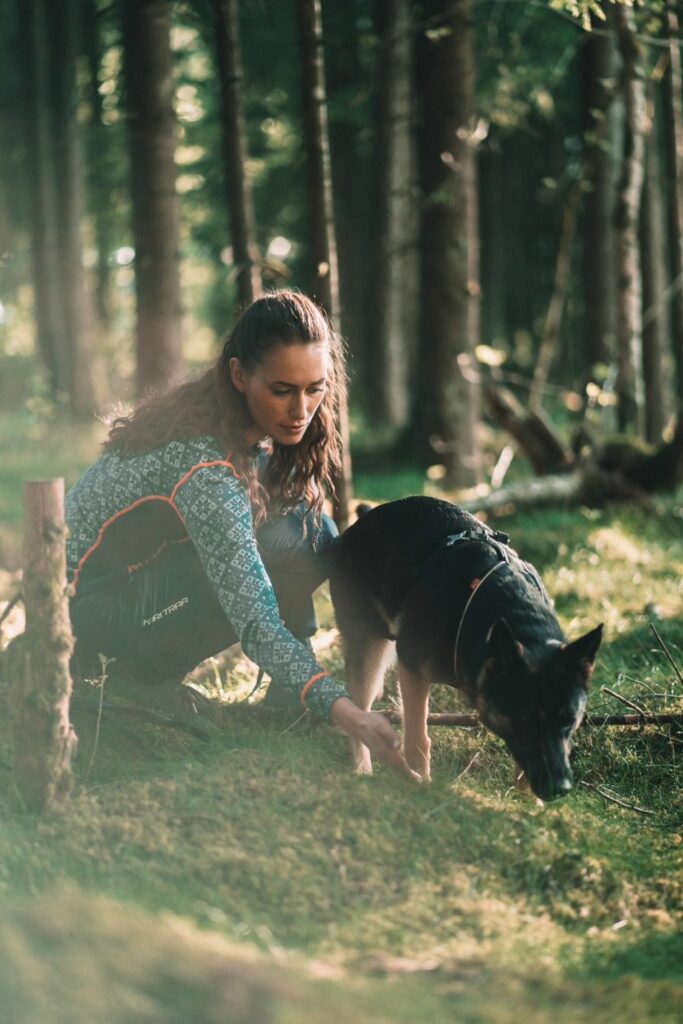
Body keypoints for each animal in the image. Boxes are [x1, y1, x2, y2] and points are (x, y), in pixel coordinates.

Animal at [331, 495, 602, 798]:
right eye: (524, 719)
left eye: (569, 720)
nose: (560, 789)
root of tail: (366, 517)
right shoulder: (413, 670)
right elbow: (417, 737)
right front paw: (420, 784)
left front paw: (527, 800)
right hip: (369, 648)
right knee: (360, 709)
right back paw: (362, 769)